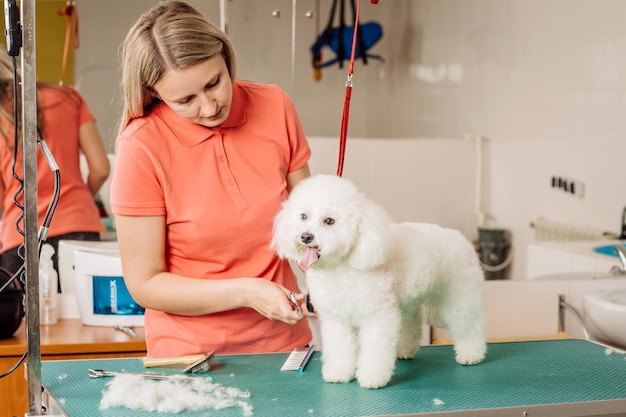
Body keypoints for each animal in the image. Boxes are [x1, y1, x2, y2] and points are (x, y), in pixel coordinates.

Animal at [270, 172, 486, 386]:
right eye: (303, 216)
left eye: (329, 221)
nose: (306, 236)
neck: (342, 268)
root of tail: (460, 237)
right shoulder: (337, 319)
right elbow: (340, 348)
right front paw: (339, 372)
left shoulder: (378, 316)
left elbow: (375, 351)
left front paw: (372, 377)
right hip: (409, 301)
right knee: (412, 324)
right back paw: (405, 350)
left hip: (460, 296)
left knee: (469, 325)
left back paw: (471, 354)